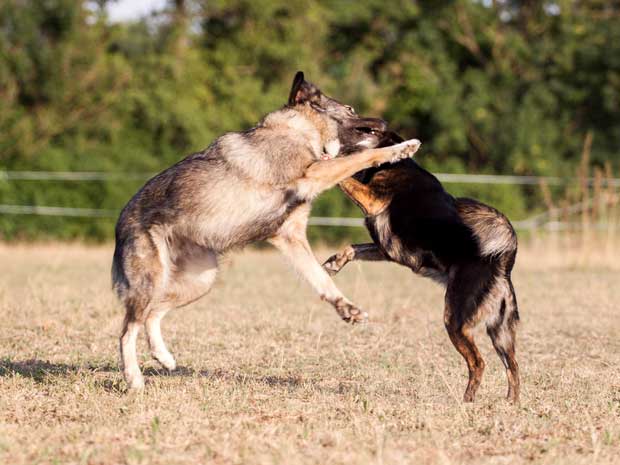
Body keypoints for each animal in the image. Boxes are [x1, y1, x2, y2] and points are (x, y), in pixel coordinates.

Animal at [112, 71, 422, 388]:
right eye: (350, 109)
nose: (384, 121)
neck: (295, 129)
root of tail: (120, 223)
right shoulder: (314, 173)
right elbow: (355, 159)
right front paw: (400, 149)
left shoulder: (291, 237)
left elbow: (321, 278)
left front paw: (344, 307)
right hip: (153, 280)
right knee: (127, 330)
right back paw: (133, 377)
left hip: (200, 281)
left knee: (151, 315)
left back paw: (163, 357)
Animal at [322, 131, 520, 402]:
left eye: (368, 131)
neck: (395, 165)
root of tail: (502, 267)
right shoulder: (385, 250)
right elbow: (353, 248)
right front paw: (333, 263)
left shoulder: (373, 200)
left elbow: (344, 177)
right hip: (500, 332)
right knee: (514, 367)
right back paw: (512, 403)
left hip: (455, 321)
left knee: (478, 363)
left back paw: (466, 401)